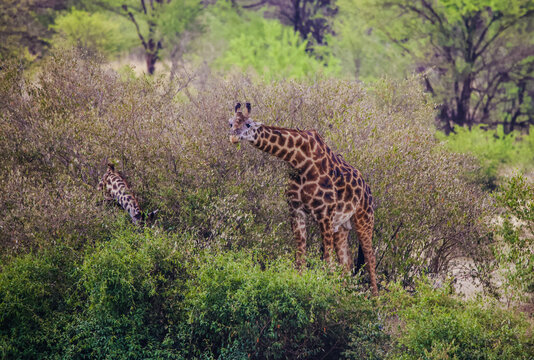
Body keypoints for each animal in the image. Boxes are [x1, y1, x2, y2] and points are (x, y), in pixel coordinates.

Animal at [228, 102, 378, 296]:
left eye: (248, 124)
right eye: (231, 123)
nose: (233, 137)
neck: (298, 160)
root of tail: (367, 188)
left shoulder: (325, 214)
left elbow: (327, 262)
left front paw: (328, 293)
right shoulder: (295, 209)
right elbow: (301, 257)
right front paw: (300, 287)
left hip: (364, 218)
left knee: (370, 258)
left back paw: (375, 300)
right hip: (342, 226)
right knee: (346, 262)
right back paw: (347, 294)